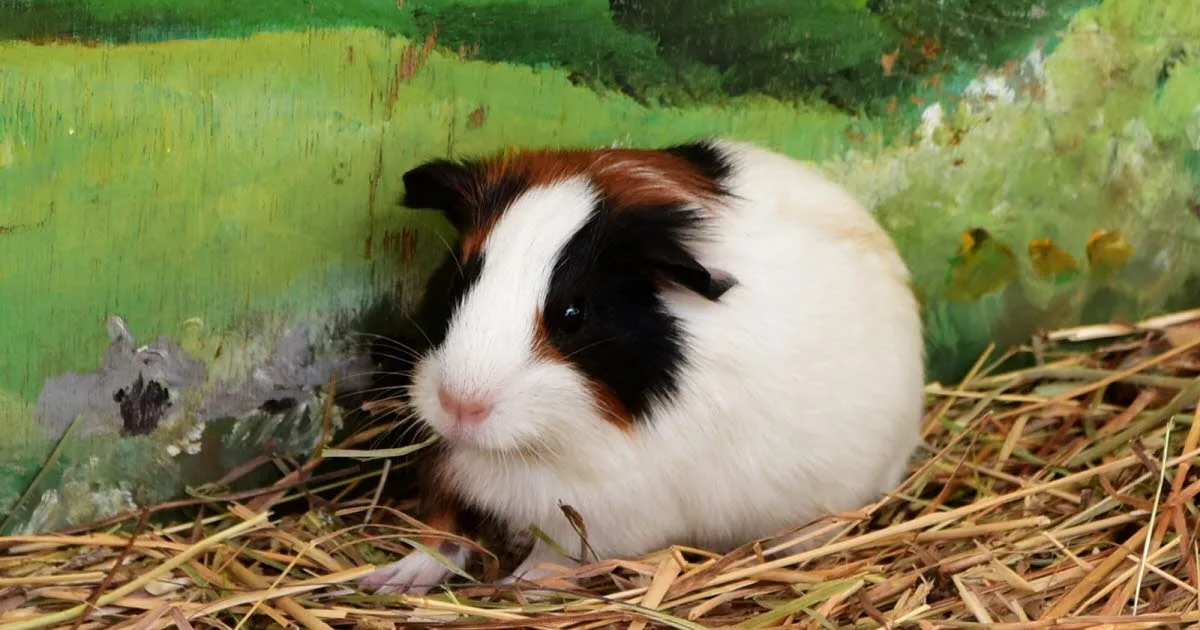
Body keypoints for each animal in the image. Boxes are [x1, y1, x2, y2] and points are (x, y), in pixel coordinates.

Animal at [359, 139, 924, 595]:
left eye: (574, 313)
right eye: (460, 280)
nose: (460, 406)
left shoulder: (610, 511)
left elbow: (556, 556)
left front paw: (513, 586)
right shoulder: (450, 468)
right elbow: (441, 533)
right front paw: (388, 582)